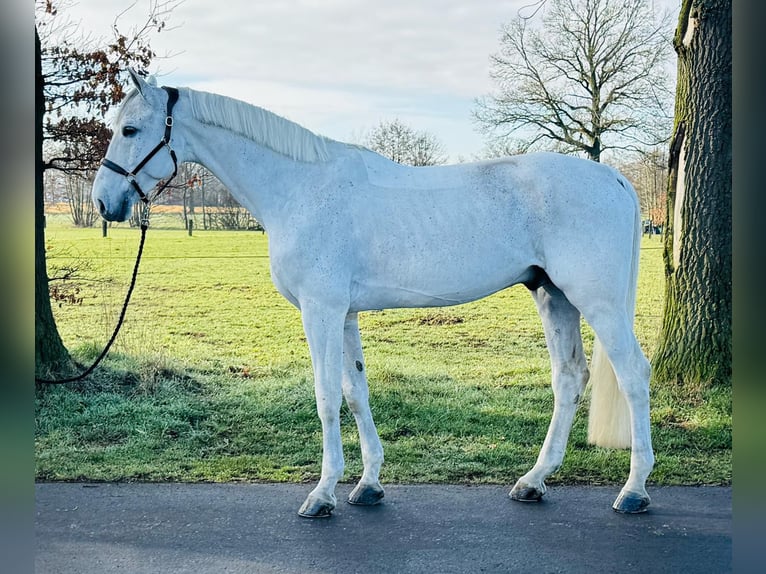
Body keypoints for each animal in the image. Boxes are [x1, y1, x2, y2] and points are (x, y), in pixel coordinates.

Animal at [90, 71, 656, 516]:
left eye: (130, 129)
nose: (103, 202)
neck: (300, 189)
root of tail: (615, 179)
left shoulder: (320, 310)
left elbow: (325, 396)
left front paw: (321, 494)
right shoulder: (343, 314)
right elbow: (354, 391)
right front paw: (367, 485)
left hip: (597, 302)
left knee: (632, 373)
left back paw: (633, 491)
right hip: (552, 295)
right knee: (569, 378)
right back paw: (533, 482)